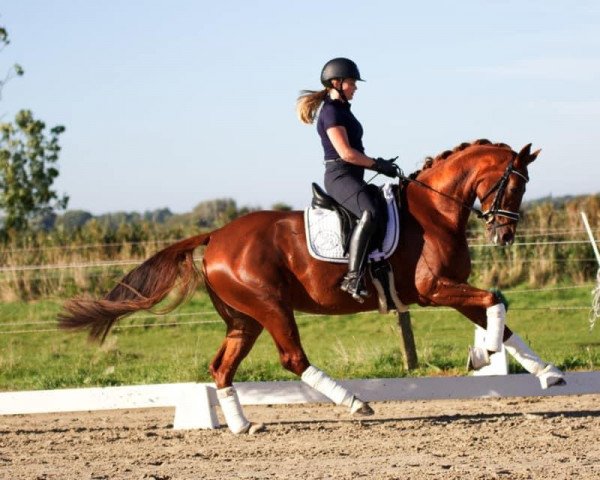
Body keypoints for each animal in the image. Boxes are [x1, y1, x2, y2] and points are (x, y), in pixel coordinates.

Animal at [58, 140, 564, 436]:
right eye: (513, 185)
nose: (504, 235)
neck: (434, 211)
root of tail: (216, 236)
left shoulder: (451, 289)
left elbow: (501, 315)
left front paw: (547, 372)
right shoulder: (435, 289)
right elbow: (495, 301)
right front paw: (482, 354)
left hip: (244, 320)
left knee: (222, 367)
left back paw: (243, 427)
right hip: (270, 308)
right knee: (292, 358)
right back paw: (355, 403)